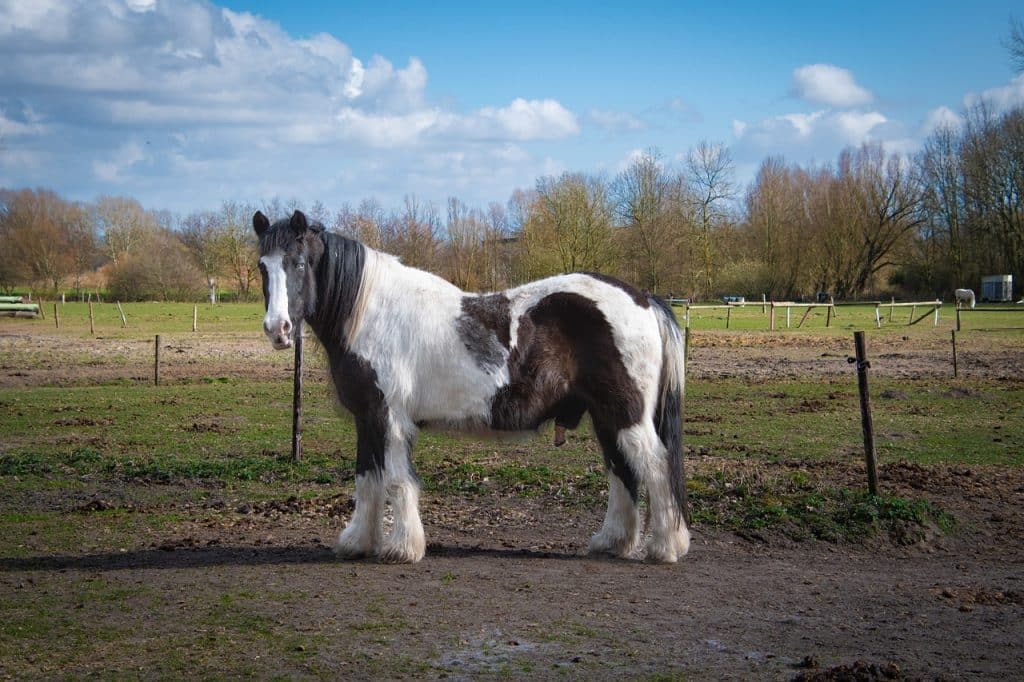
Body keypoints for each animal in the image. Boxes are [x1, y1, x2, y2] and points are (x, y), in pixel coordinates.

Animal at [251, 209, 692, 561]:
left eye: (300, 263)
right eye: (262, 266)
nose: (279, 329)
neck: (373, 313)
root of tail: (644, 299)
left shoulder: (388, 417)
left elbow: (395, 480)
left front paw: (402, 548)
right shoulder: (368, 419)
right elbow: (367, 478)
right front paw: (358, 542)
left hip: (626, 414)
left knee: (655, 466)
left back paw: (665, 547)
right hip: (606, 417)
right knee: (622, 471)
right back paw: (613, 542)